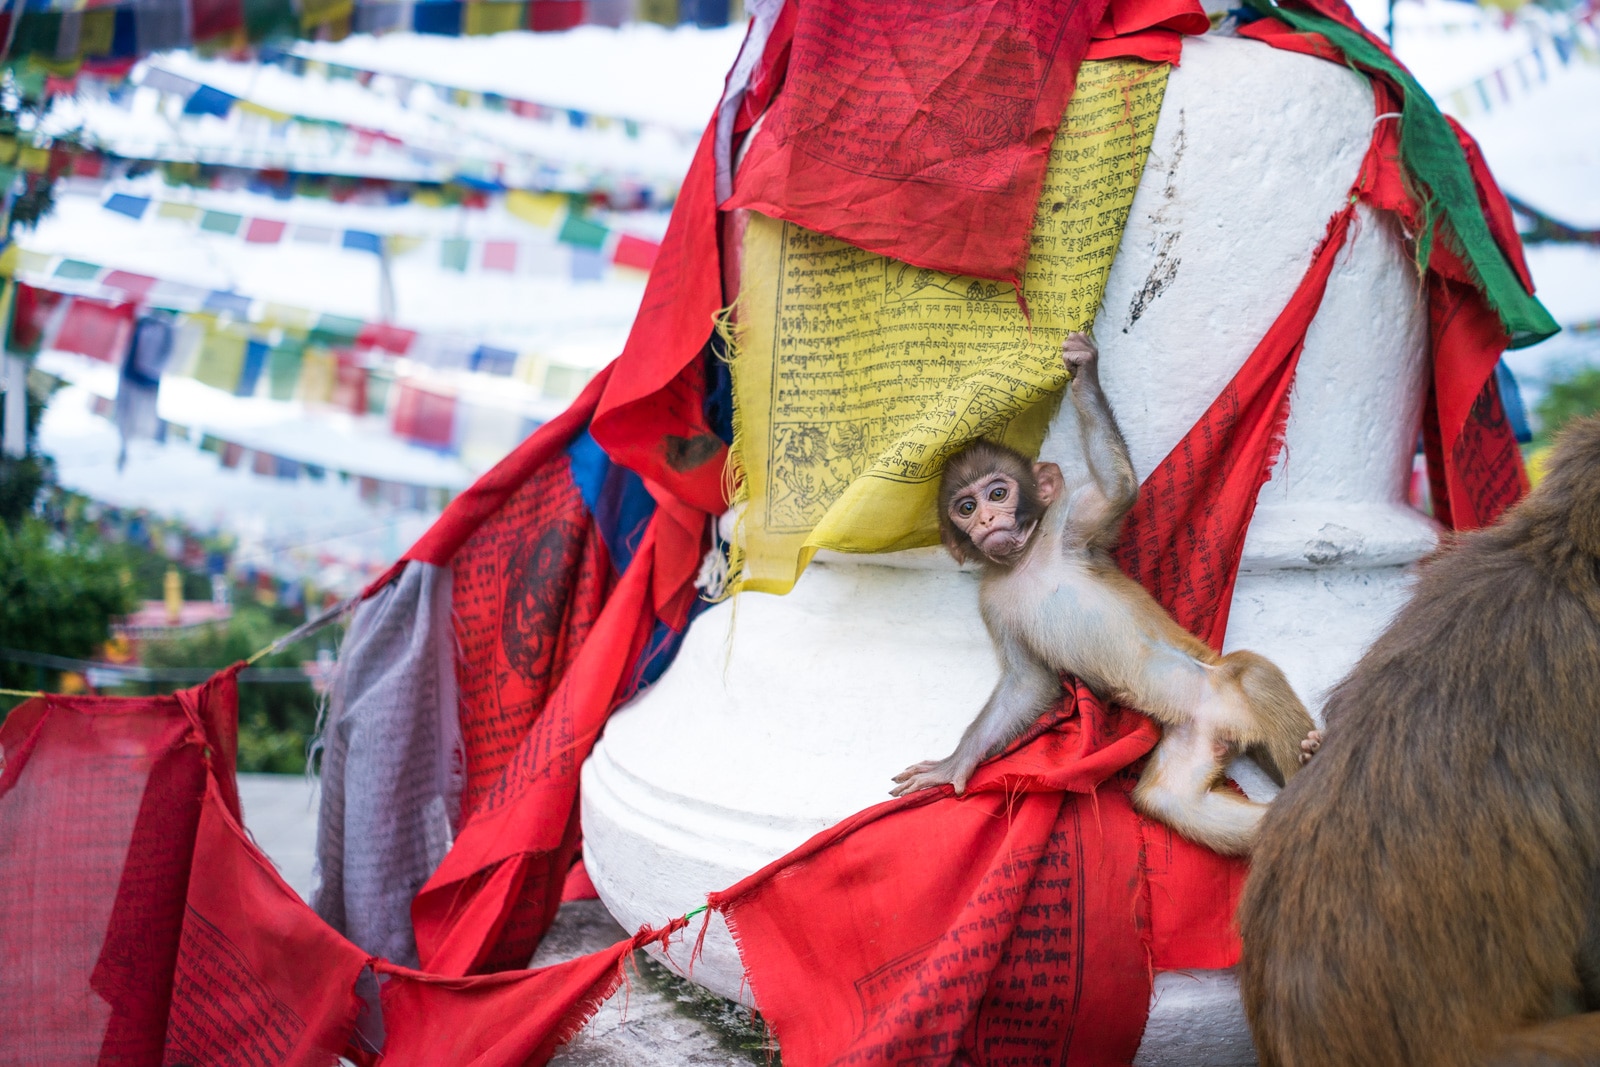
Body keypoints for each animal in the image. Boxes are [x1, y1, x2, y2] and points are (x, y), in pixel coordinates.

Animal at [889, 334, 1312, 857]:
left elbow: (1118, 491)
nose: (986, 520)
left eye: (998, 494)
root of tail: (1231, 728)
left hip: (1225, 689)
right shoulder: (991, 602)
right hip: (1196, 736)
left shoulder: (1070, 521)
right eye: (966, 507)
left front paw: (1084, 372)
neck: (1025, 561)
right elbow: (1028, 683)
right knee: (1165, 799)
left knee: (1252, 673)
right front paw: (956, 764)